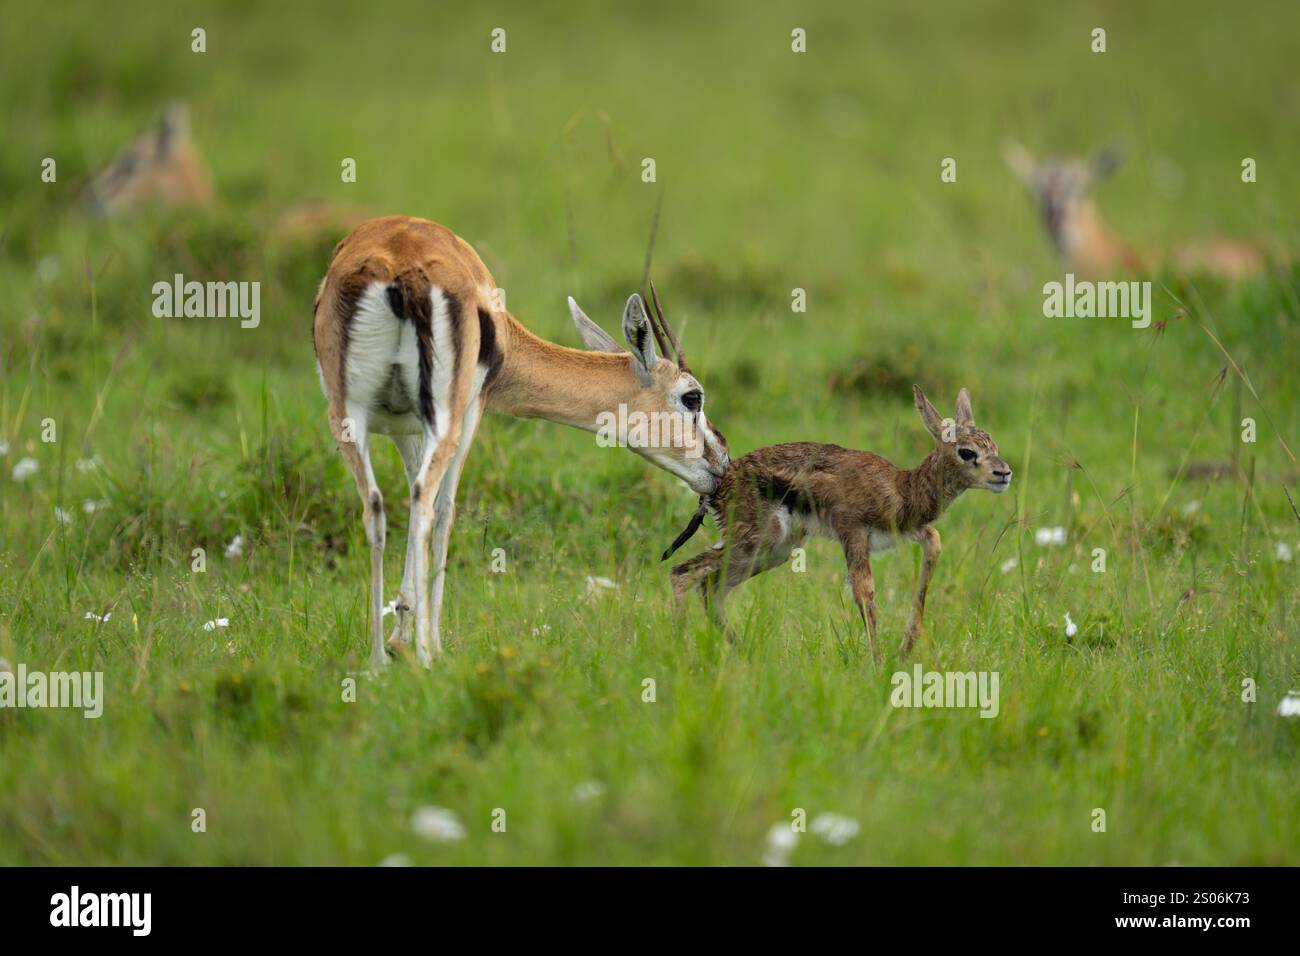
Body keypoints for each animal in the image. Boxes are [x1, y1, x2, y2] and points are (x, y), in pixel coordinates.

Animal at [313, 216, 730, 668]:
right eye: (692, 397)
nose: (723, 460)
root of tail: (399, 267)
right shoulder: (470, 409)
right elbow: (444, 511)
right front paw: (426, 643)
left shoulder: (401, 426)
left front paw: (399, 637)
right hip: (442, 418)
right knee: (426, 502)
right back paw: (425, 654)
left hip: (347, 415)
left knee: (375, 504)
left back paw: (375, 661)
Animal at [665, 386, 1010, 663]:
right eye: (967, 452)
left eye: (993, 445)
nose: (1004, 473)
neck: (901, 488)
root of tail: (718, 485)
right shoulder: (853, 532)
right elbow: (864, 591)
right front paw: (879, 663)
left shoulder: (911, 530)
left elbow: (934, 544)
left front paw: (906, 647)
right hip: (759, 541)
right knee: (682, 573)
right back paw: (683, 655)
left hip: (773, 551)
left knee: (709, 586)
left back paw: (745, 655)